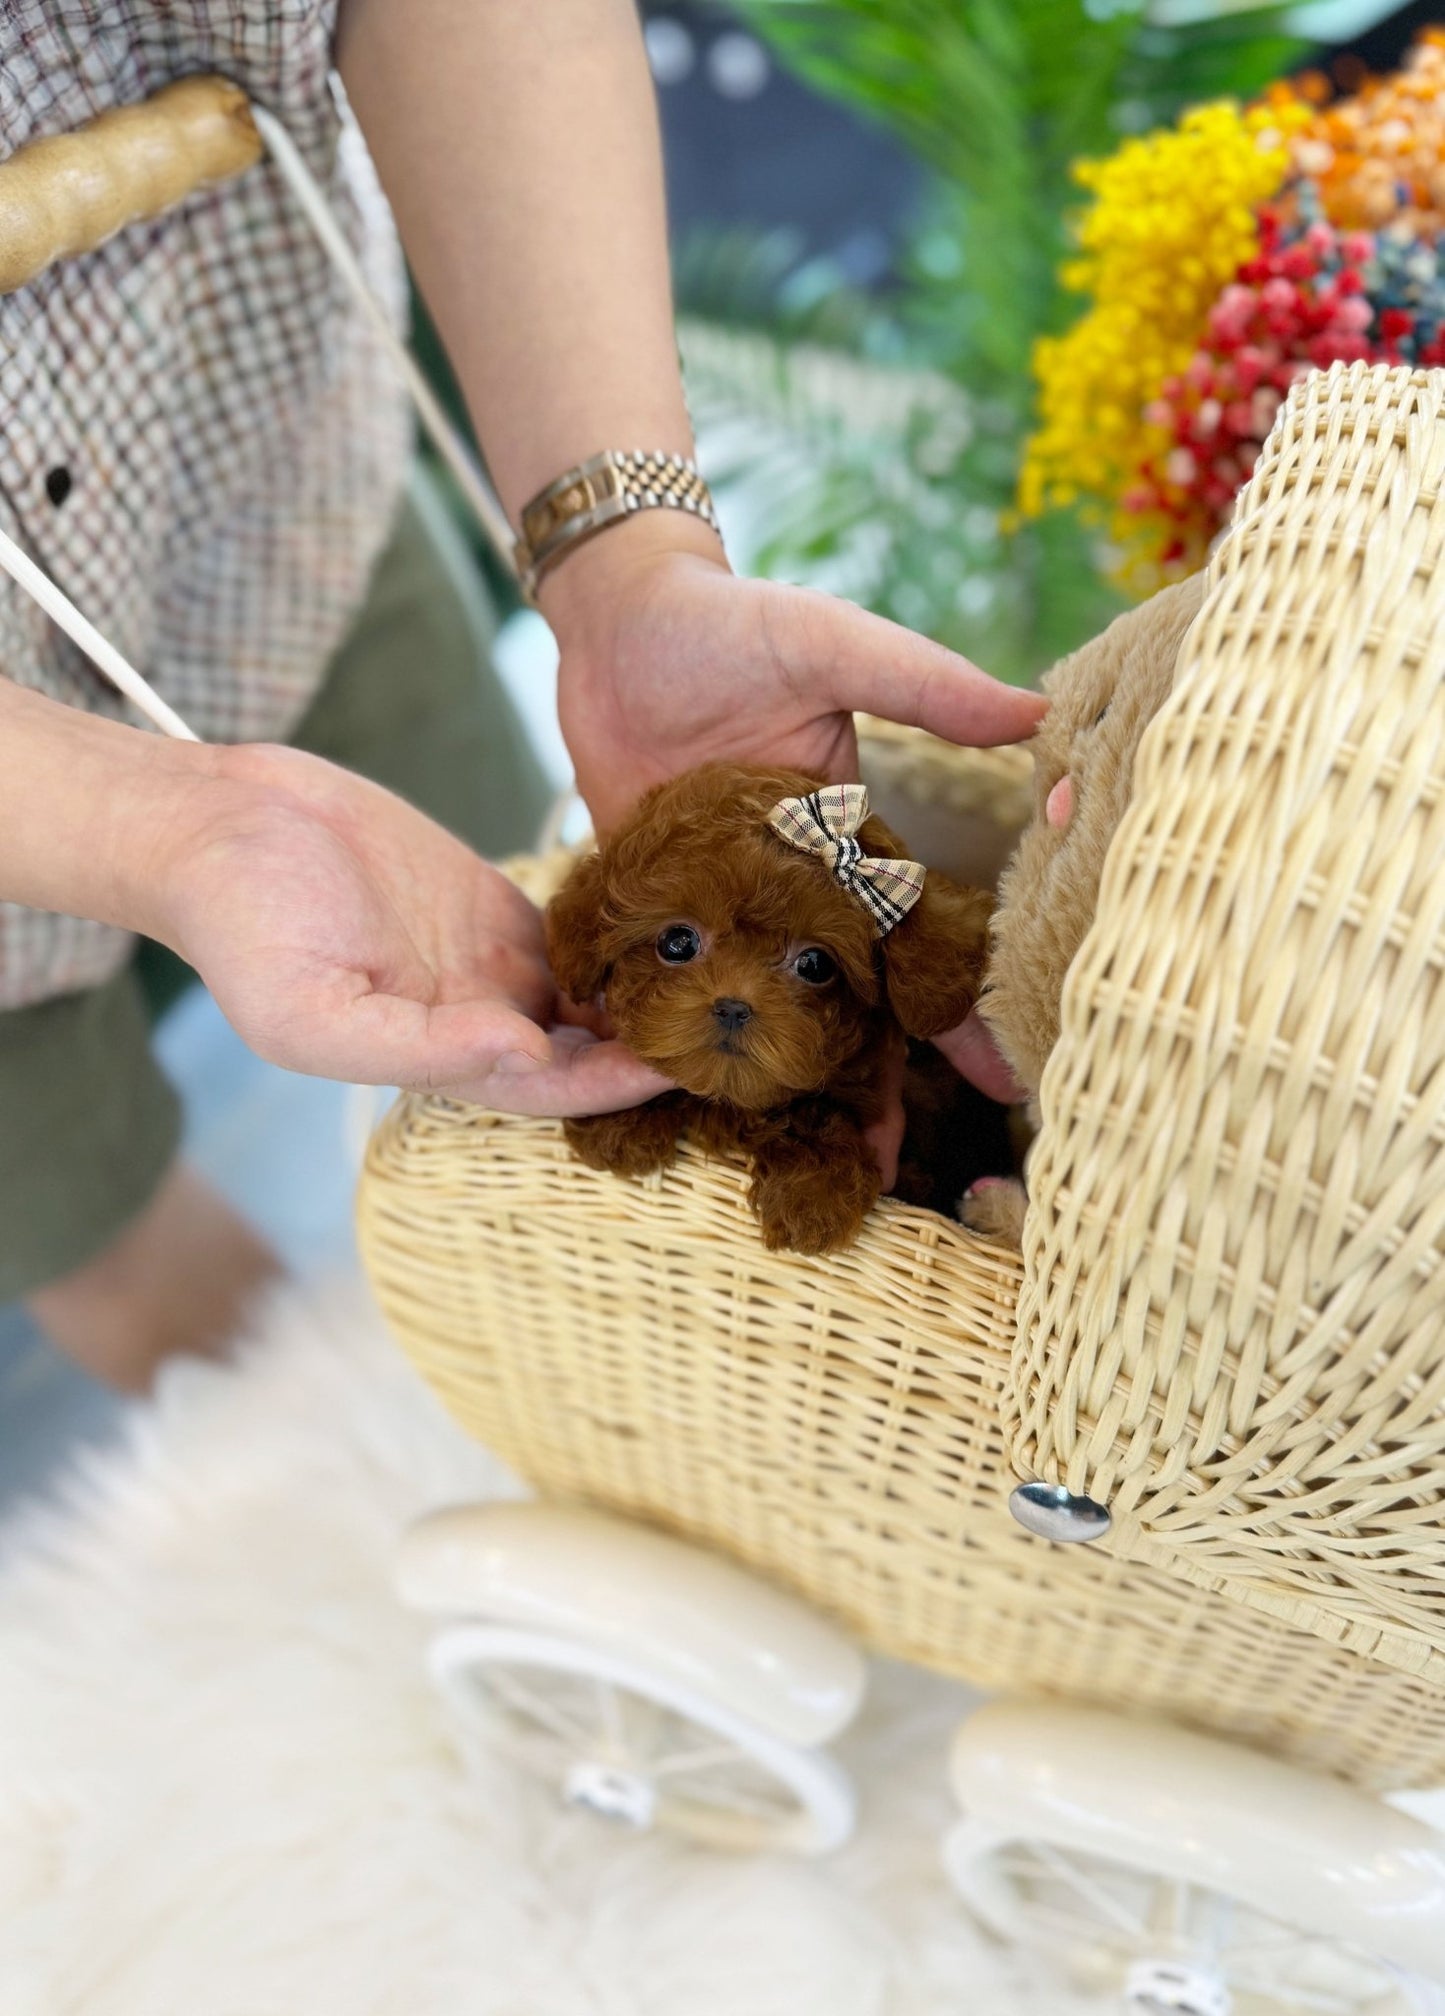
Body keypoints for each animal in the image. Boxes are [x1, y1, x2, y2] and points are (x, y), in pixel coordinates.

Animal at [544, 762, 991, 1249]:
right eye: (677, 942)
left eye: (815, 964)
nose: (733, 1007)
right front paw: (619, 1123)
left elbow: (819, 1113)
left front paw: (813, 1195)